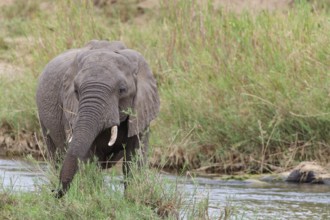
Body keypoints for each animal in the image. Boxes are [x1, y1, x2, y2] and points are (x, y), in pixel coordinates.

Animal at [36, 39, 160, 198]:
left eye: (122, 90)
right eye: (76, 90)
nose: (54, 192)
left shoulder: (141, 110)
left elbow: (135, 159)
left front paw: (132, 199)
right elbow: (88, 159)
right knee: (55, 157)